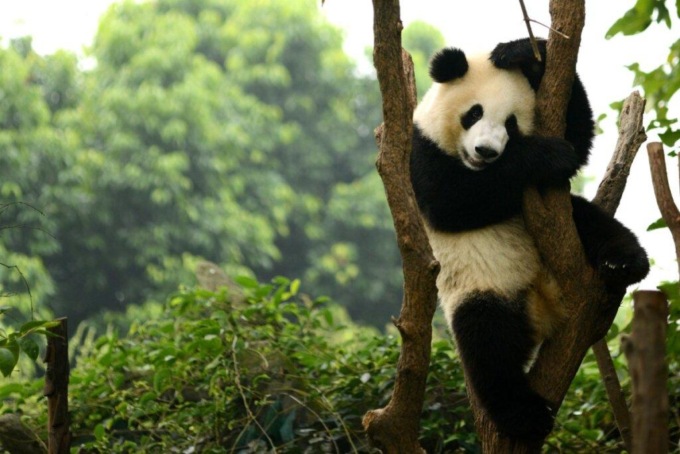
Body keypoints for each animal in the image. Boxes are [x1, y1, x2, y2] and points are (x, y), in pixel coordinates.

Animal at [410, 38, 649, 440]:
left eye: (512, 123)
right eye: (473, 113)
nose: (486, 151)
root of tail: (544, 307)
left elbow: (578, 135)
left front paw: (522, 53)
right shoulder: (420, 151)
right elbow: (450, 200)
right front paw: (547, 155)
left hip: (570, 233)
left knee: (590, 220)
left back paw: (624, 262)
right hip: (482, 287)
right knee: (488, 345)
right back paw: (526, 416)